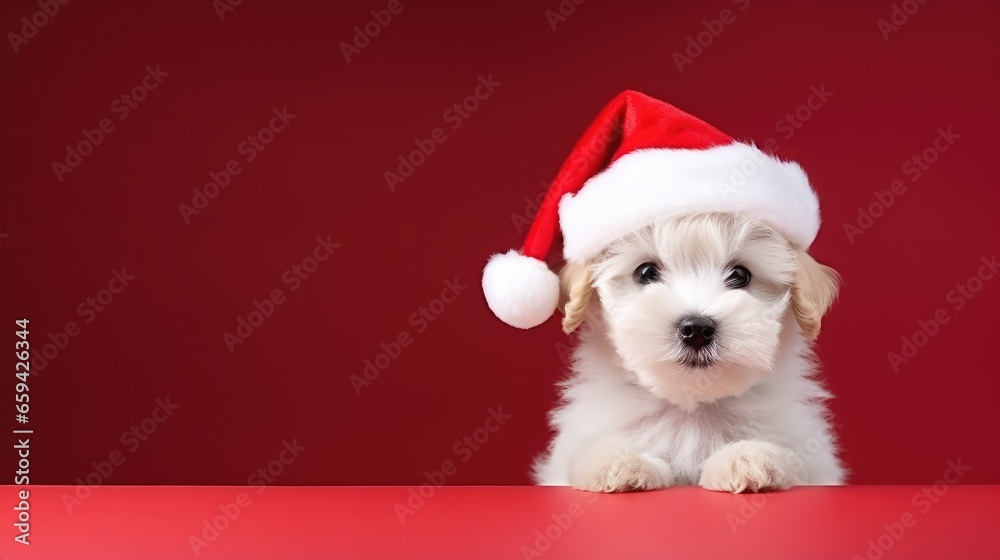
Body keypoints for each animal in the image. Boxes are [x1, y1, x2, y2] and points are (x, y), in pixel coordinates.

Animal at [532, 212, 844, 492]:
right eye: (646, 273)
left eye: (740, 275)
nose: (696, 329)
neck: (691, 409)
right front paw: (619, 461)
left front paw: (747, 456)